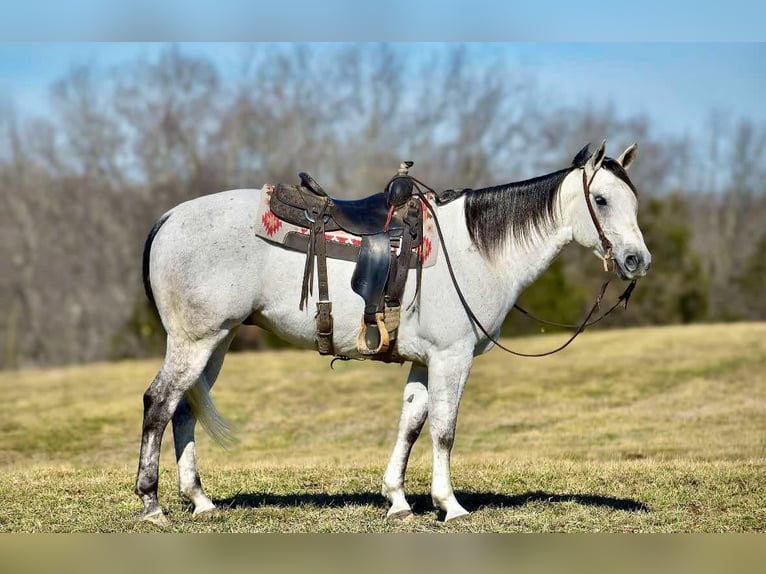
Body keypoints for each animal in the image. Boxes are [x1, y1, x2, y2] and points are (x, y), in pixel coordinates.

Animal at [138, 141, 656, 528]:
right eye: (601, 200)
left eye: (633, 200)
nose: (637, 261)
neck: (476, 250)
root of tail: (167, 219)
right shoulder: (452, 357)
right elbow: (444, 430)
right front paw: (451, 506)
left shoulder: (425, 362)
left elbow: (410, 424)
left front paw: (399, 500)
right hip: (195, 341)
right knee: (159, 403)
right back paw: (152, 504)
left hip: (216, 342)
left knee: (184, 409)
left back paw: (201, 501)